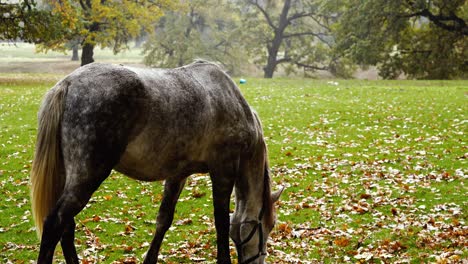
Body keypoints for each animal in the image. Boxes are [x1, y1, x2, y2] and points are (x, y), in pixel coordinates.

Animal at [32, 60, 286, 262]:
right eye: (270, 225)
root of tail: (68, 83)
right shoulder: (223, 170)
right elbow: (221, 222)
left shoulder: (178, 174)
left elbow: (164, 220)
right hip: (88, 175)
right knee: (56, 223)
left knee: (67, 226)